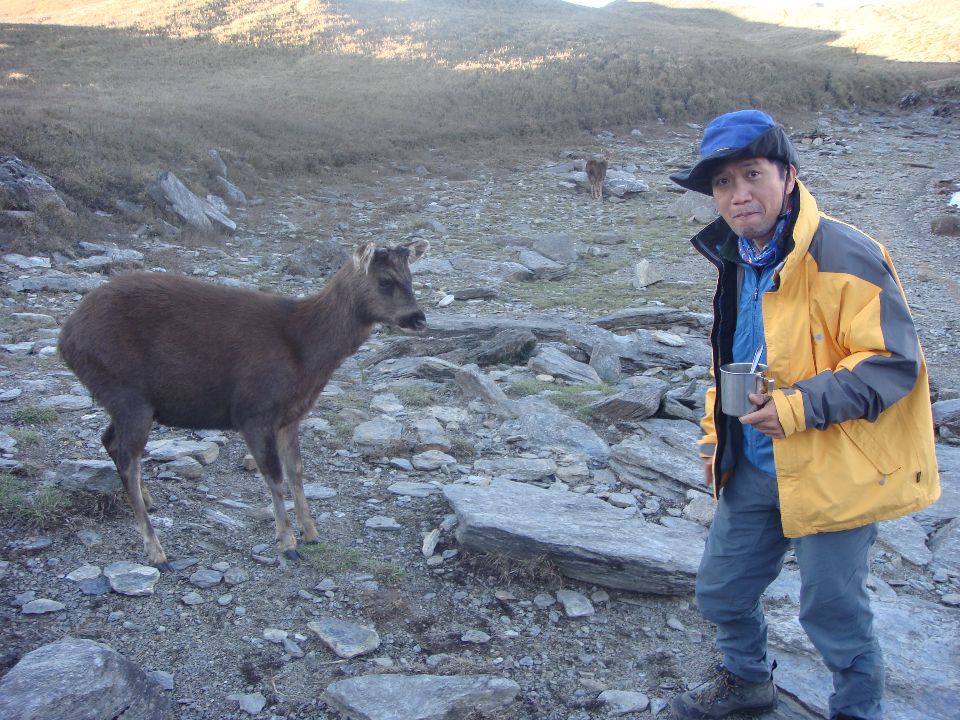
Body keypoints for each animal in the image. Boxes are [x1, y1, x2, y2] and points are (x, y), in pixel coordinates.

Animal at [57, 240, 428, 571]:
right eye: (385, 280)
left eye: (411, 277)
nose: (419, 318)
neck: (304, 350)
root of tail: (66, 338)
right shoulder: (254, 411)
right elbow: (274, 477)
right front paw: (287, 543)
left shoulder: (291, 416)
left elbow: (296, 471)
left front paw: (311, 531)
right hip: (125, 391)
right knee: (127, 458)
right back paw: (156, 551)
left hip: (127, 399)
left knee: (110, 441)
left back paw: (149, 503)